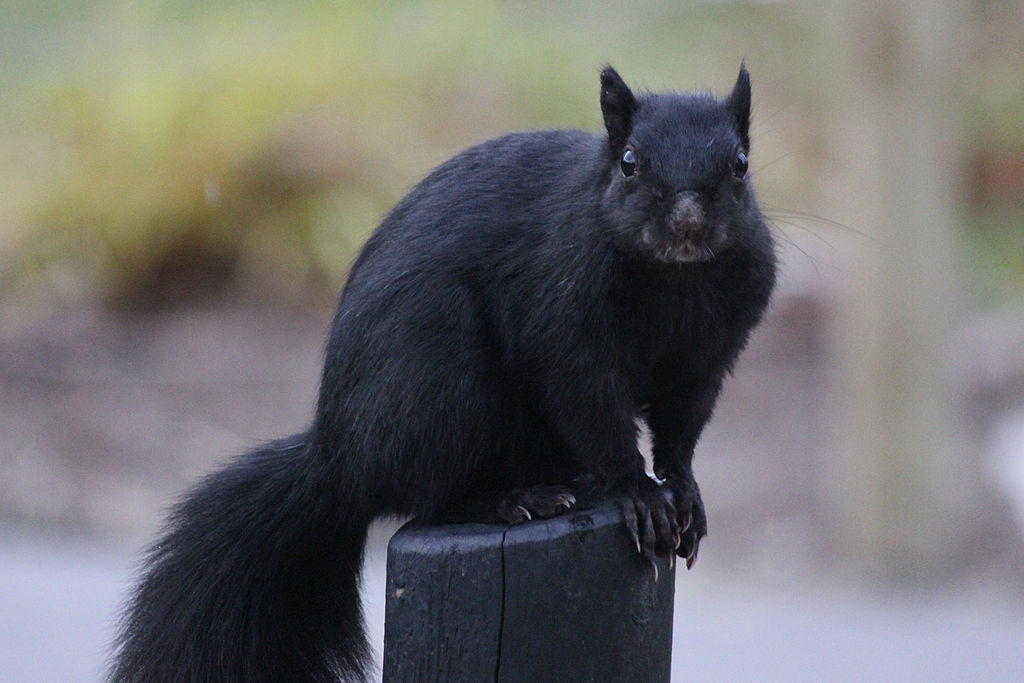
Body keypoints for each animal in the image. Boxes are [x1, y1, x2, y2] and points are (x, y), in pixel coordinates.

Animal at [110, 65, 774, 683]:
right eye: (630, 163)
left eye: (740, 164)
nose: (687, 222)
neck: (674, 279)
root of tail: (336, 460)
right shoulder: (563, 329)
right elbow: (595, 411)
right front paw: (639, 494)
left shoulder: (709, 358)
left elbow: (681, 430)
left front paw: (683, 491)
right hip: (438, 384)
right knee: (425, 499)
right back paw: (513, 500)